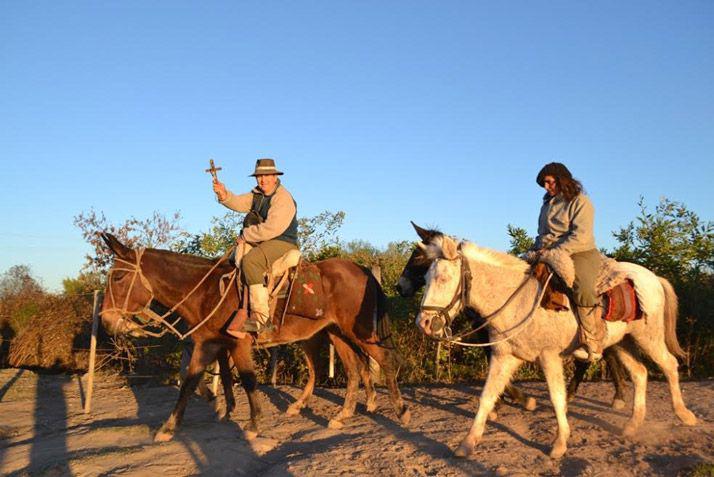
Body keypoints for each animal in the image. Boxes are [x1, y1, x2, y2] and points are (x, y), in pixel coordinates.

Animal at [98, 232, 406, 440]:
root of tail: (362, 269)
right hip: (336, 333)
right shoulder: (208, 344)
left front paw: (254, 423)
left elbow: (246, 380)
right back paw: (341, 416)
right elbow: (192, 381)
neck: (207, 291)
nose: (107, 321)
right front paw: (170, 427)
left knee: (385, 360)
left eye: (118, 278)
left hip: (359, 332)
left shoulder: (238, 344)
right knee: (353, 370)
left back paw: (401, 411)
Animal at [414, 233, 692, 458]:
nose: (424, 323)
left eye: (443, 278)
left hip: (649, 337)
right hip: (622, 343)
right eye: (426, 277)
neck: (520, 300)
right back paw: (633, 425)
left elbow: (557, 397)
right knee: (640, 373)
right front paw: (467, 444)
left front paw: (559, 444)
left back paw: (685, 415)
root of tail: (652, 277)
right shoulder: (504, 356)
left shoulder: (549, 357)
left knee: (669, 365)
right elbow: (487, 396)